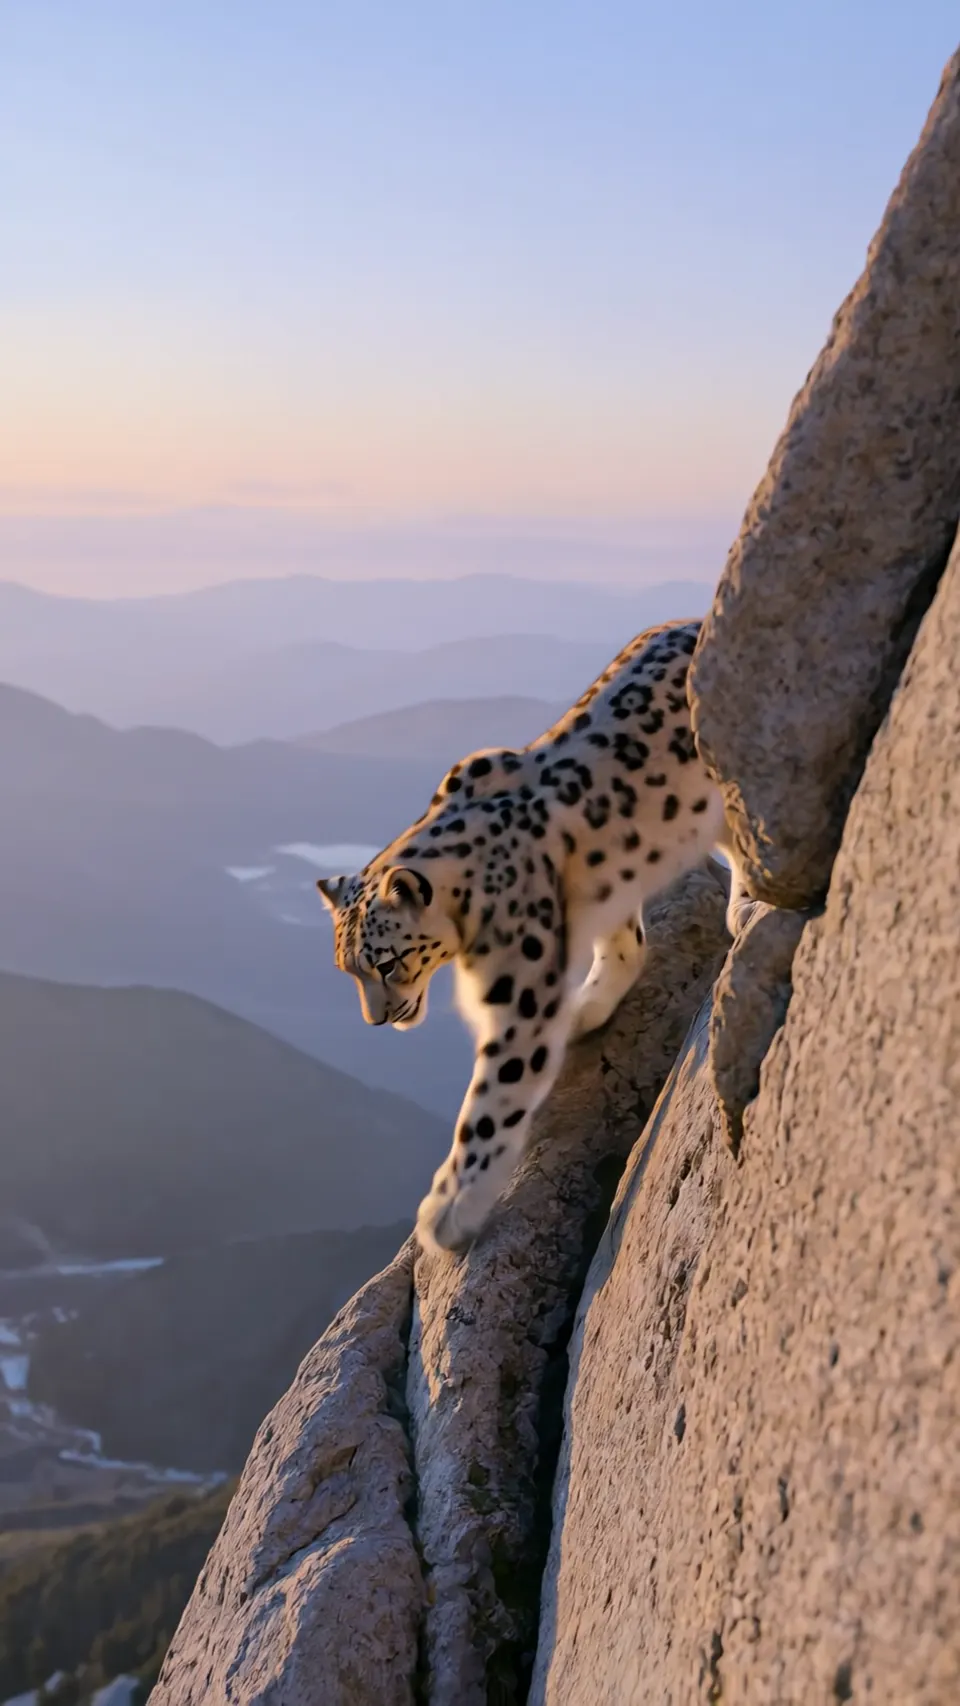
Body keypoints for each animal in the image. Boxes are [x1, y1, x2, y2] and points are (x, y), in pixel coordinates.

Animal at [317, 618, 743, 1254]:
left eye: (387, 963)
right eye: (349, 969)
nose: (377, 1019)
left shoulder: (518, 996)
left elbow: (491, 1103)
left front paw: (449, 1211)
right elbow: (623, 943)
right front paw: (589, 1006)